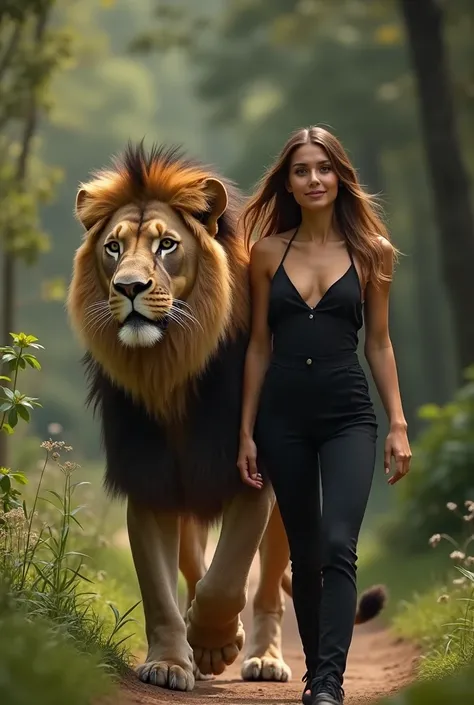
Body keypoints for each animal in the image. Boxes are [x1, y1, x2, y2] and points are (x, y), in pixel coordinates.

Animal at [66, 140, 386, 692]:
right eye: (113, 248)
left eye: (166, 244)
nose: (129, 287)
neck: (169, 371)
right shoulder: (149, 478)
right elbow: (158, 586)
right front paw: (172, 662)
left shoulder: (254, 475)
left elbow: (230, 573)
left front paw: (219, 642)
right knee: (194, 568)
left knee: (268, 586)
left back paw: (262, 657)